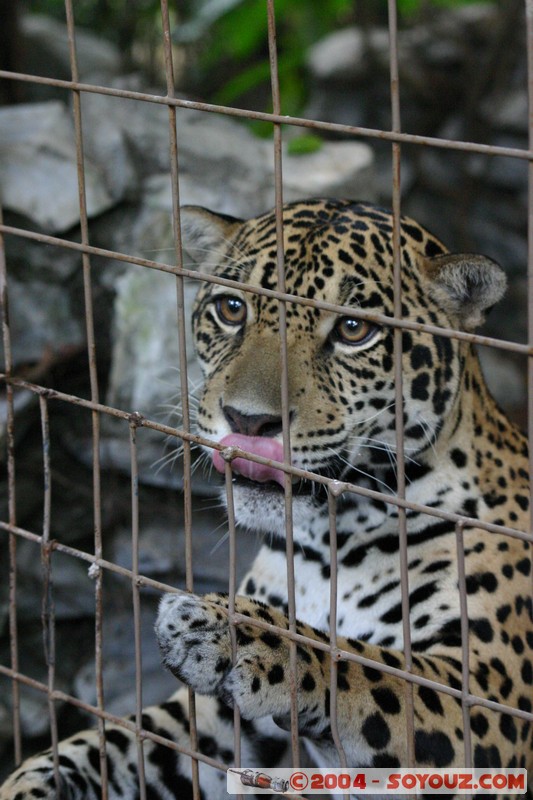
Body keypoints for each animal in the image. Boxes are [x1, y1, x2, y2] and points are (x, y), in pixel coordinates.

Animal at [1, 198, 531, 800]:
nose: (248, 421)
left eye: (354, 329)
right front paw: (33, 780)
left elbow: (365, 666)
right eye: (232, 309)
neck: (334, 540)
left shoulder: (485, 705)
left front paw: (237, 632)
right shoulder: (213, 732)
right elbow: (116, 744)